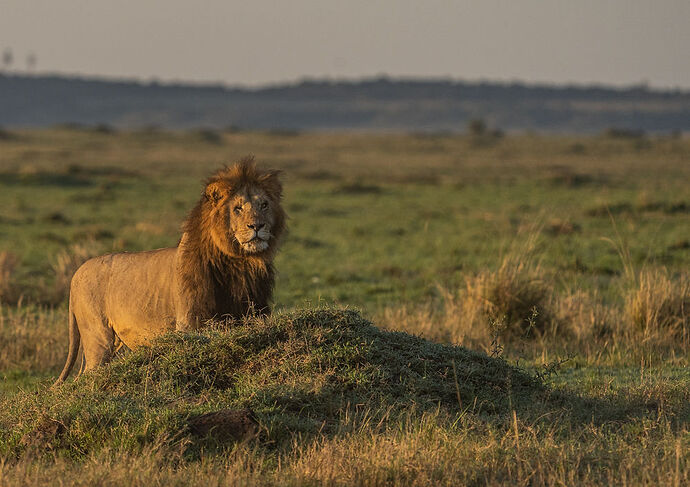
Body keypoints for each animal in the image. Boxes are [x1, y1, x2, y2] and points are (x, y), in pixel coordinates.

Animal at [53, 158, 284, 386]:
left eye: (264, 204)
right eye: (237, 208)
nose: (257, 226)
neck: (239, 264)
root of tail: (76, 274)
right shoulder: (189, 324)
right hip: (98, 336)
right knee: (88, 375)